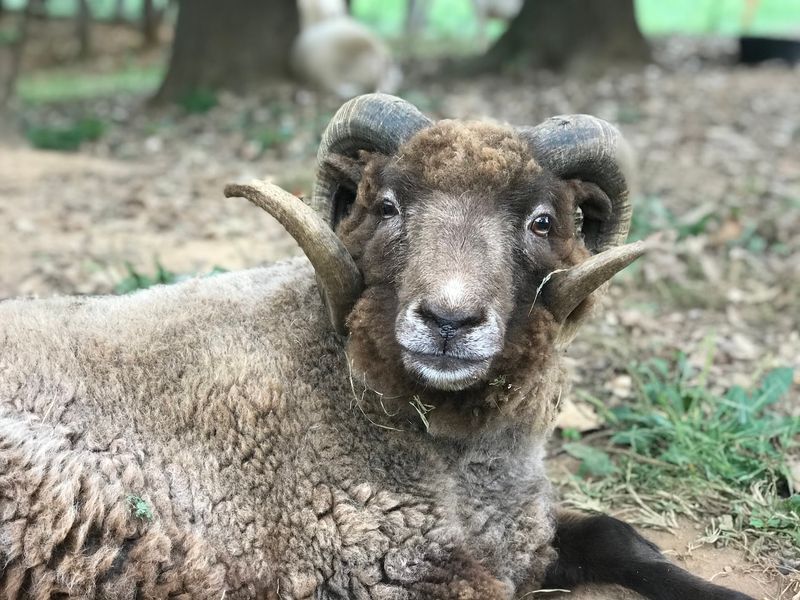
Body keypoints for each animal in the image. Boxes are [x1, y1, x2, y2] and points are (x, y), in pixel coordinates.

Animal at [0, 93, 753, 600]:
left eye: (542, 222)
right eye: (387, 206)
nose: (449, 319)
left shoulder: (520, 533)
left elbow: (617, 535)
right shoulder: (392, 570)